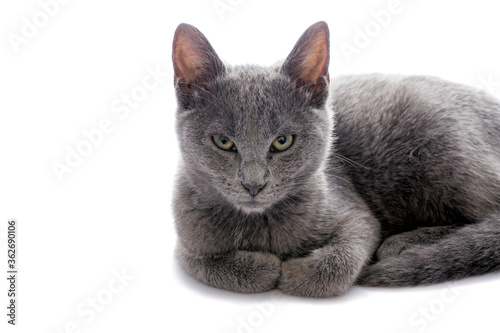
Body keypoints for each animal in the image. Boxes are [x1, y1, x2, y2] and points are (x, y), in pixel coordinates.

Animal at [171, 20, 500, 296]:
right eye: (224, 142)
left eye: (282, 141)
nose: (254, 184)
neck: (258, 224)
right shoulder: (186, 242)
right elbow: (202, 264)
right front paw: (264, 266)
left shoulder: (354, 215)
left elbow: (341, 261)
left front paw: (292, 273)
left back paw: (406, 242)